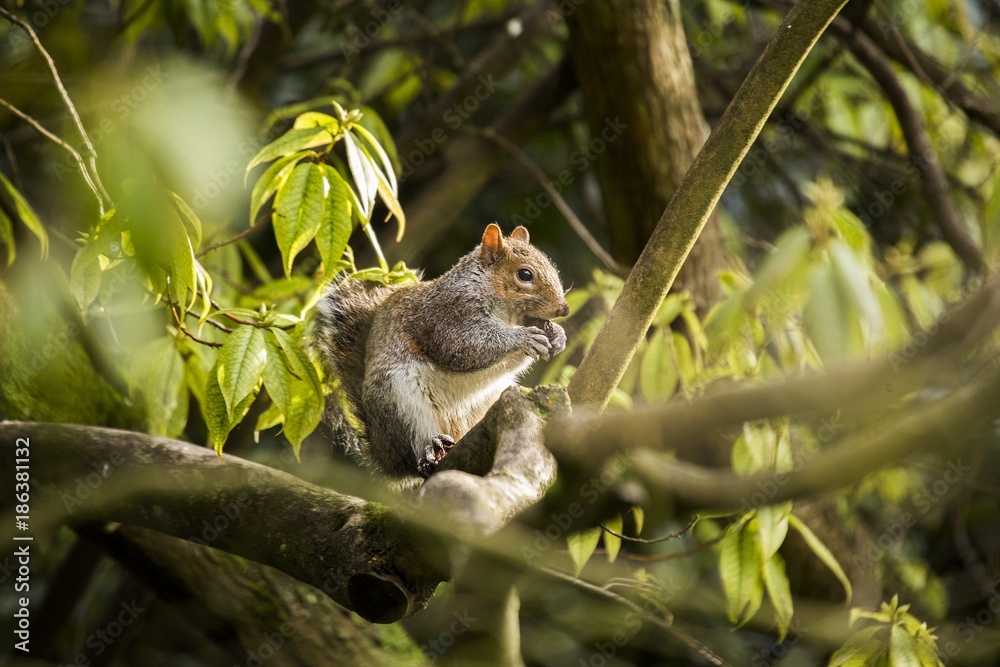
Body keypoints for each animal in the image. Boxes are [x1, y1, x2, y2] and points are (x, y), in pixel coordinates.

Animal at [313, 223, 569, 482]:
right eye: (525, 275)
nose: (564, 309)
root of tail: (385, 456)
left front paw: (558, 336)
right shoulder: (444, 315)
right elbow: (464, 346)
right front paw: (524, 337)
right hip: (398, 402)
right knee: (415, 446)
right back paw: (431, 450)